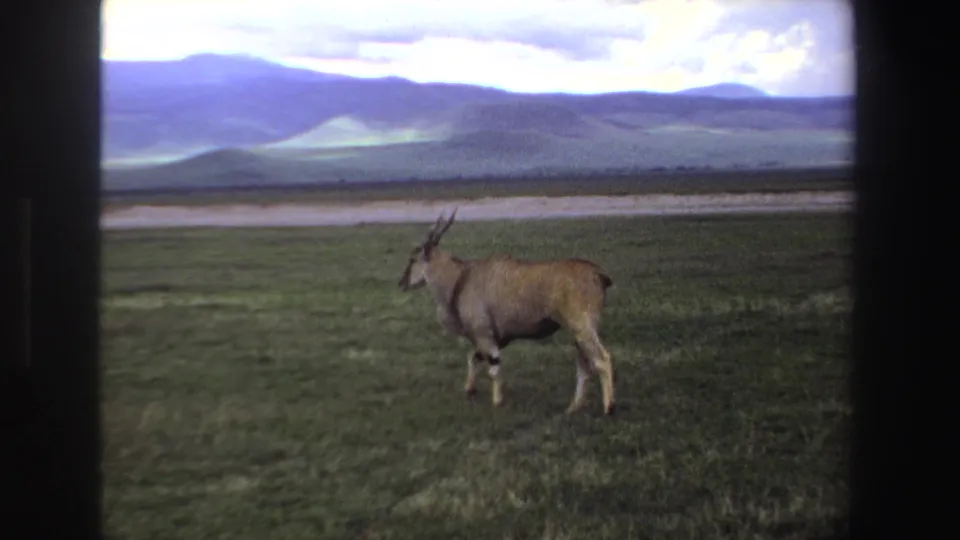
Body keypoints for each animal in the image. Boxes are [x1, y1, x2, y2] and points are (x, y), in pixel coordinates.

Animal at [397, 208, 617, 415]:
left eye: (413, 259)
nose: (402, 283)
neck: (461, 277)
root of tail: (597, 273)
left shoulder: (484, 335)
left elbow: (493, 369)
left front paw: (497, 401)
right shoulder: (493, 338)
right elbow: (474, 357)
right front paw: (470, 389)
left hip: (582, 328)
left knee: (602, 360)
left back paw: (609, 407)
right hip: (580, 333)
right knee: (584, 366)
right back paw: (573, 407)